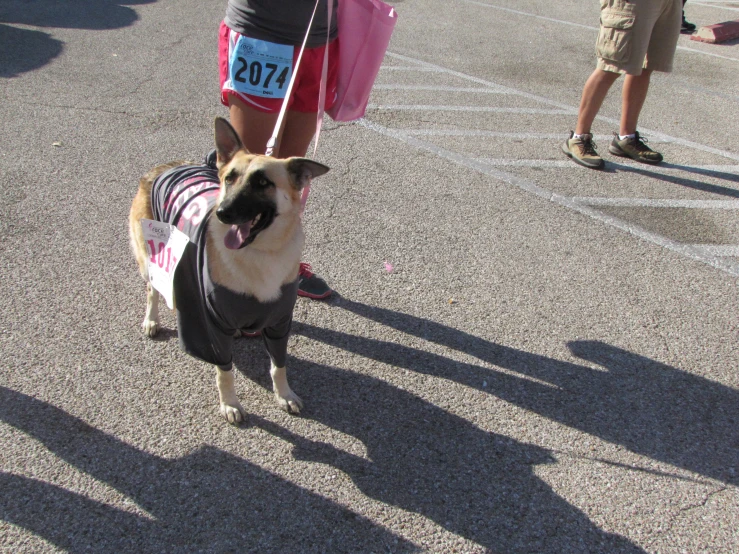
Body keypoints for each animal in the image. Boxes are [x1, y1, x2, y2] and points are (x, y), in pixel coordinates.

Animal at [130, 114, 330, 420]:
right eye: (229, 178)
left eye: (263, 182)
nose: (223, 212)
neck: (261, 252)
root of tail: (168, 166)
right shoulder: (212, 327)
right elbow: (224, 372)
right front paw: (230, 403)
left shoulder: (279, 324)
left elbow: (279, 365)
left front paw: (284, 394)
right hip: (151, 259)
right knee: (152, 290)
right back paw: (151, 320)